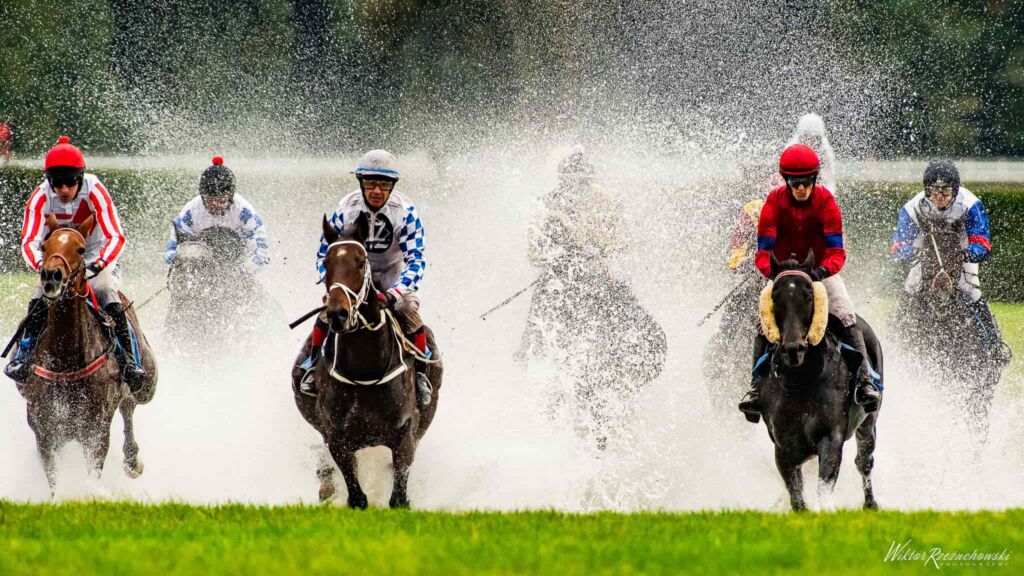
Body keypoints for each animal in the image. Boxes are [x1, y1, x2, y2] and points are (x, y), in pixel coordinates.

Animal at [17, 217, 157, 492]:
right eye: (44, 245)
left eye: (81, 249)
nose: (51, 275)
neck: (66, 358)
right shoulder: (44, 426)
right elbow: (53, 478)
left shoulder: (97, 427)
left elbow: (93, 472)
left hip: (146, 385)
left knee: (129, 406)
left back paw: (132, 460)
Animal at [291, 216, 442, 508]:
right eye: (327, 262)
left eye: (361, 262)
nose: (337, 313)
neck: (365, 370)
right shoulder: (337, 437)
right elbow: (357, 497)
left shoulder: (406, 433)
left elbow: (399, 498)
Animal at [758, 252, 881, 511]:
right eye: (775, 296)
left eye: (809, 296)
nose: (793, 348)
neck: (801, 380)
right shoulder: (783, 446)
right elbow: (796, 497)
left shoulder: (830, 437)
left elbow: (824, 487)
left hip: (869, 421)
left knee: (864, 460)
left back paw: (870, 503)